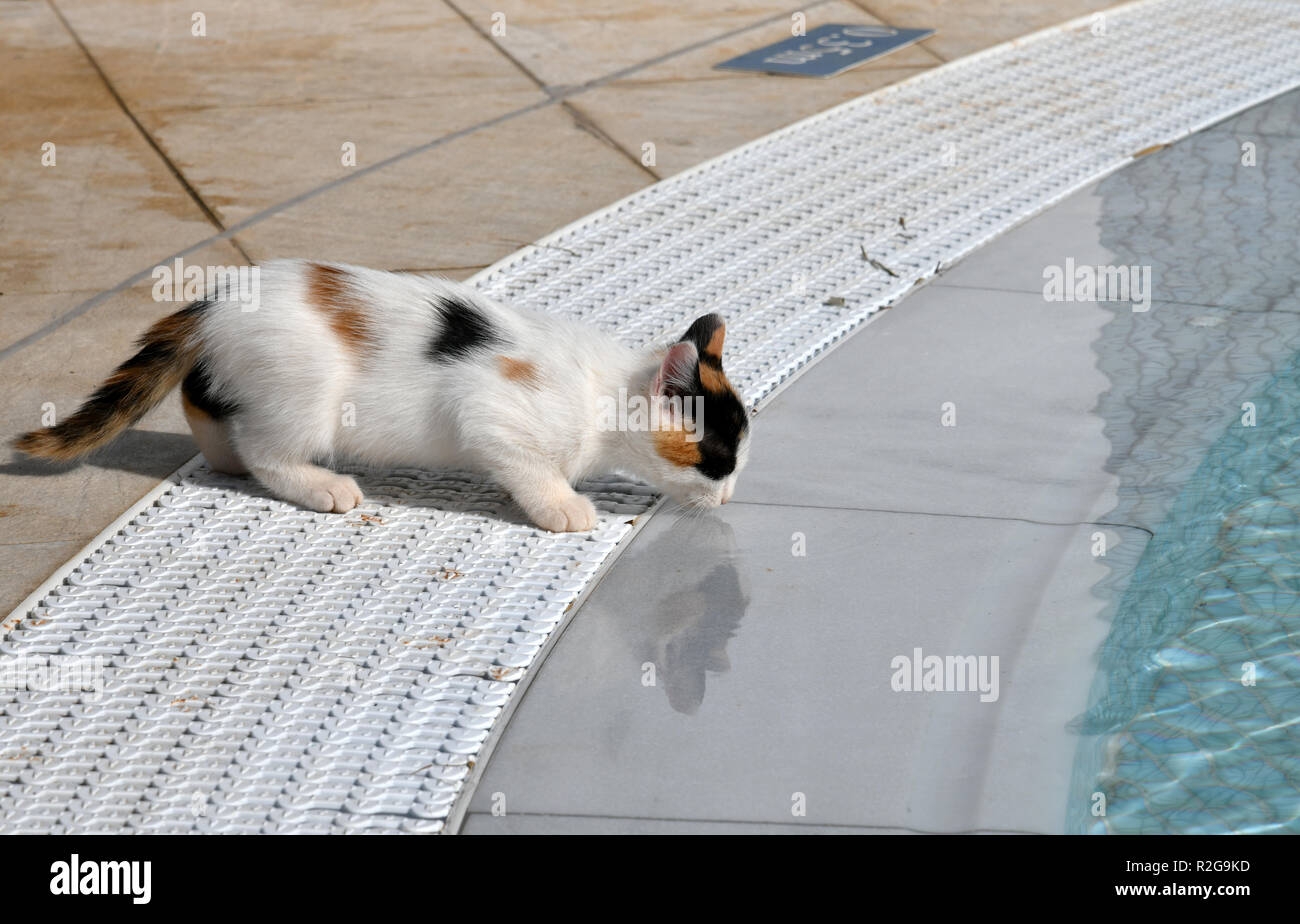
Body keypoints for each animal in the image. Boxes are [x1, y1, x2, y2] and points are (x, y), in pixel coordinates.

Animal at [15, 263, 754, 530]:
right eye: (716, 461)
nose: (728, 498)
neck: (604, 391)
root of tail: (216, 301)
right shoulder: (489, 410)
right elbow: (529, 469)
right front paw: (562, 507)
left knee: (204, 400)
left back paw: (221, 458)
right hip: (307, 390)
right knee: (264, 449)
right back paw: (321, 486)